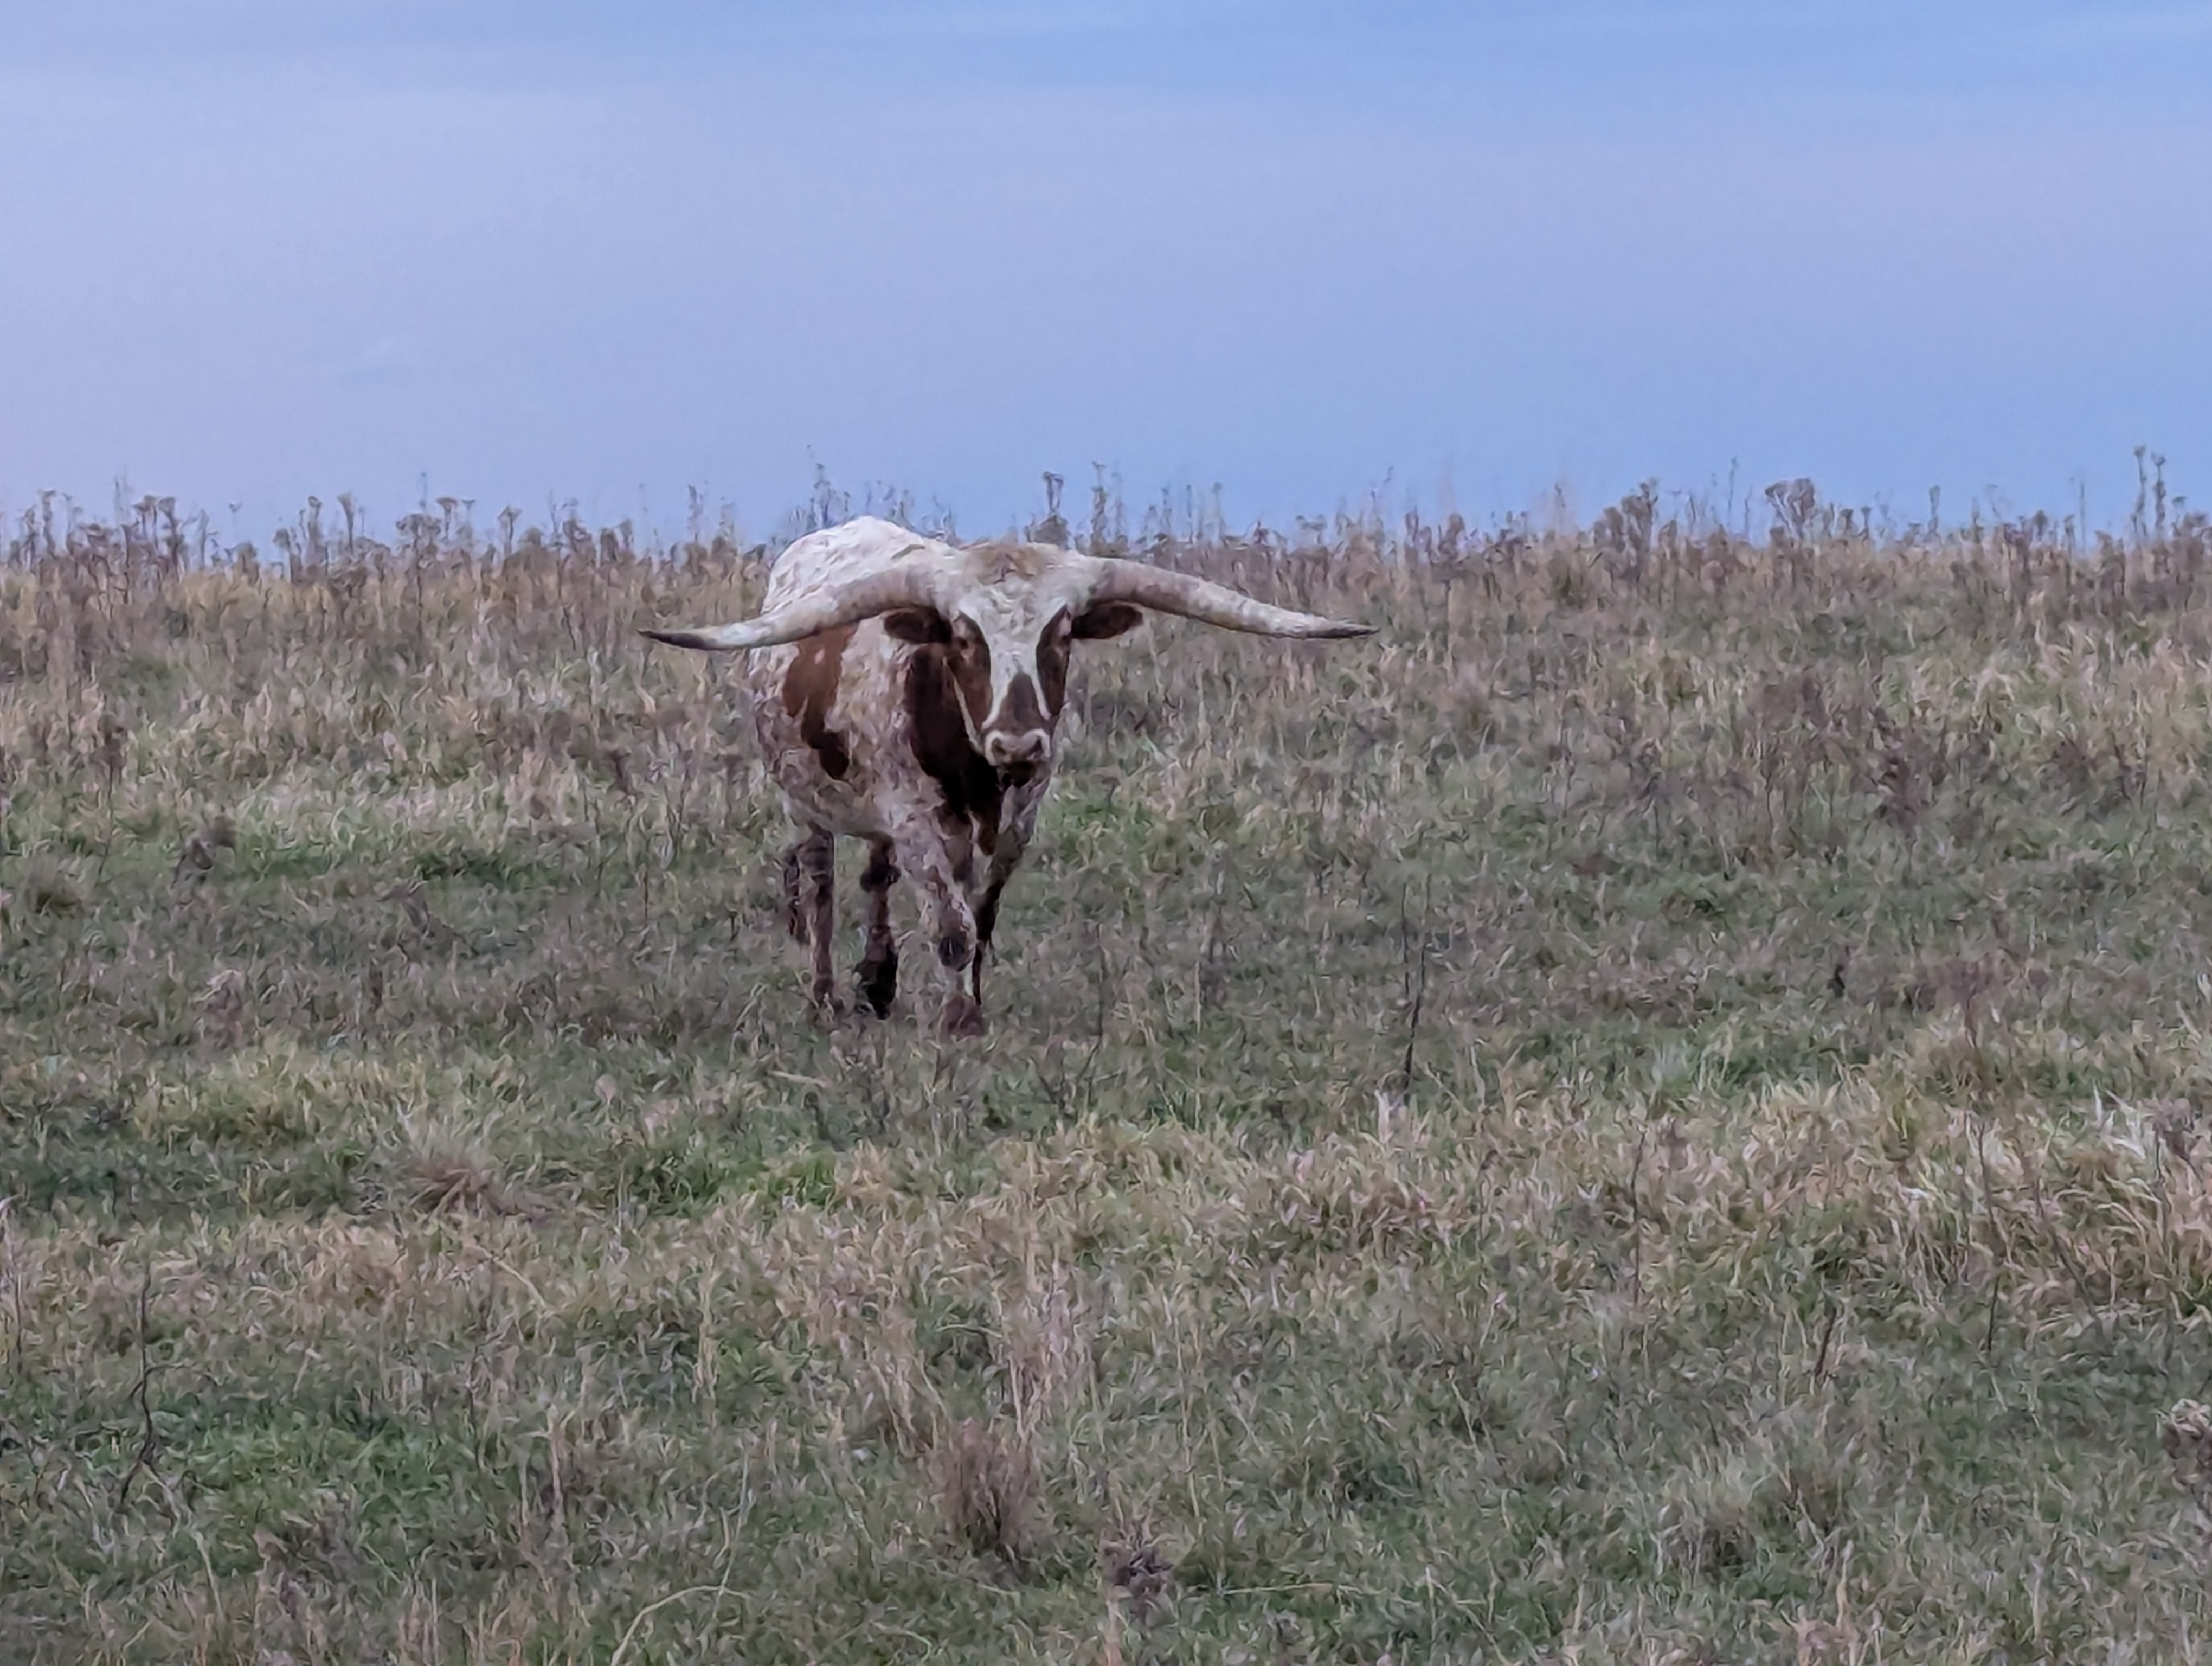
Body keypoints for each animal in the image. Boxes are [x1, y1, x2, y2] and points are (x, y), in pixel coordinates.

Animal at [643, 515, 1373, 1036]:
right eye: (965, 638)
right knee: (820, 887)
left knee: (876, 876)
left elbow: (982, 916)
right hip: (805, 804)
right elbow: (951, 926)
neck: (977, 770)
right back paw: (825, 997)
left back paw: (878, 981)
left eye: (1063, 633)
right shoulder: (916, 819)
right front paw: (958, 1020)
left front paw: (966, 999)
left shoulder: (1019, 818)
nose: (1018, 741)